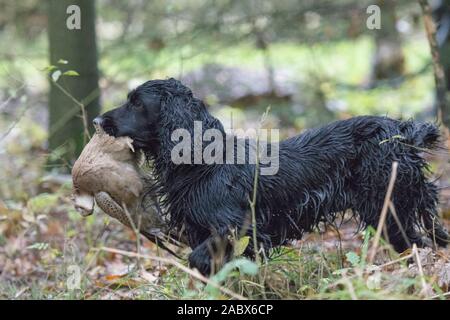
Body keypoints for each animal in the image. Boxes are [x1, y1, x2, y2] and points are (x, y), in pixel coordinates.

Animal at [94, 77, 446, 276]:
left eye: (137, 103)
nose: (97, 120)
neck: (204, 162)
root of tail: (400, 132)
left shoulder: (235, 227)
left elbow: (199, 258)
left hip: (390, 208)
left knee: (418, 245)